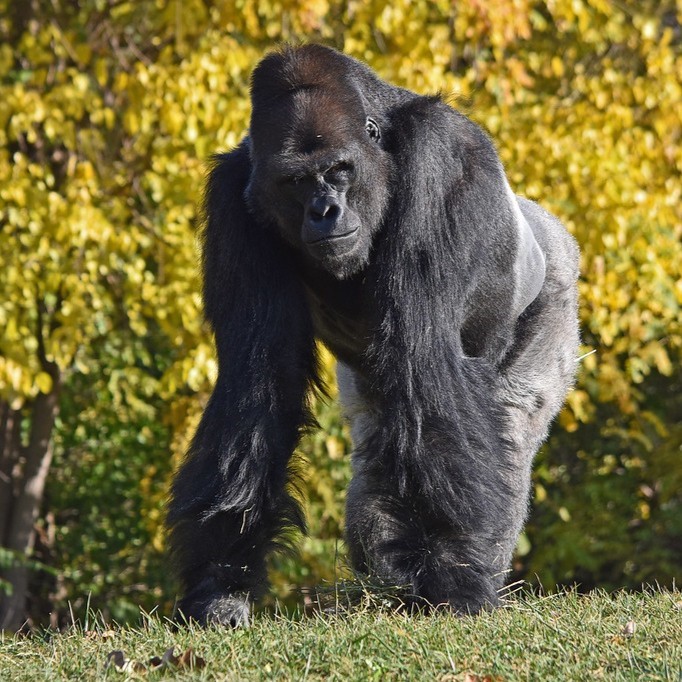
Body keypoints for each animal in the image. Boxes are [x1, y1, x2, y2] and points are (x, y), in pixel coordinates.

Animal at [166, 45, 580, 624]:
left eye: (339, 171)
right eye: (296, 182)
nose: (325, 211)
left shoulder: (440, 155)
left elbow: (422, 356)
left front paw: (456, 575)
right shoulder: (231, 194)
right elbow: (258, 378)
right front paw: (220, 581)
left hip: (559, 281)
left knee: (509, 427)